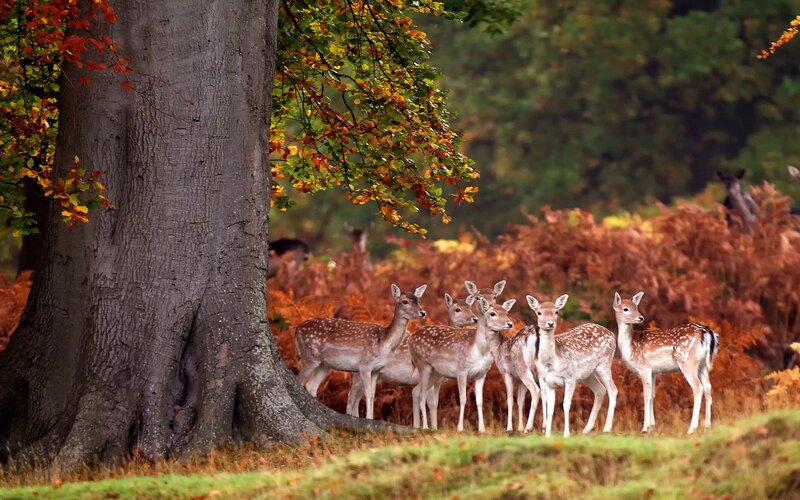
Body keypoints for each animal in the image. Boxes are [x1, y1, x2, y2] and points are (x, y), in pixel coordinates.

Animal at [294, 283, 427, 420]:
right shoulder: (364, 364)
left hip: (325, 365)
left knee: (311, 385)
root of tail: (297, 330)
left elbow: (373, 393)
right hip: (309, 356)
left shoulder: (376, 369)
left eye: (418, 300)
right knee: (299, 381)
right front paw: (369, 418)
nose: (422, 312)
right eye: (405, 301)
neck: (384, 344)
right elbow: (368, 392)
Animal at [345, 293, 477, 427]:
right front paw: (429, 427)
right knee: (351, 397)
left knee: (357, 398)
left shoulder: (437, 382)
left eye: (470, 307)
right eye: (457, 309)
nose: (475, 318)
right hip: (359, 372)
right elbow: (430, 403)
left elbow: (433, 403)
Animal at [409, 293, 516, 432]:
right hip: (423, 364)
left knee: (416, 392)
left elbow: (479, 401)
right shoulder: (461, 370)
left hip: (436, 373)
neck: (480, 349)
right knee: (422, 395)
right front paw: (460, 428)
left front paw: (482, 429)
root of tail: (411, 339)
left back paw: (419, 426)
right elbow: (463, 399)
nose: (509, 323)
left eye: (506, 312)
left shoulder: (481, 374)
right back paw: (426, 427)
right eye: (493, 313)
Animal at [528, 294, 618, 437]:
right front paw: (547, 435)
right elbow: (550, 408)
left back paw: (607, 428)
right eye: (539, 312)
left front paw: (566, 434)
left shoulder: (570, 378)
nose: (550, 323)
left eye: (556, 311)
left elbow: (566, 405)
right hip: (587, 375)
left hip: (604, 364)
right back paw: (587, 429)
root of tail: (612, 334)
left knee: (613, 390)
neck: (552, 362)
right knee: (600, 390)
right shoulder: (548, 382)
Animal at [613, 292, 719, 434]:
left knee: (698, 388)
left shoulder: (644, 368)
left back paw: (691, 428)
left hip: (687, 362)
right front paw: (652, 425)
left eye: (635, 307)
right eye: (626, 308)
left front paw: (645, 428)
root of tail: (707, 332)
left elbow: (646, 395)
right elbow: (652, 395)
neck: (630, 347)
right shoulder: (653, 372)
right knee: (708, 387)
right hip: (702, 365)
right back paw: (707, 425)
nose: (640, 318)